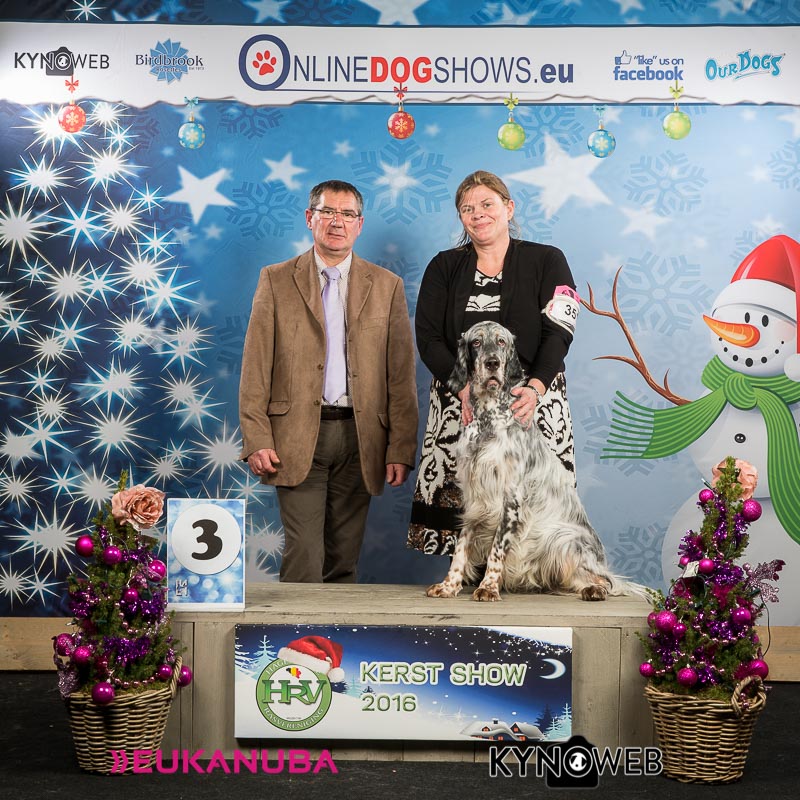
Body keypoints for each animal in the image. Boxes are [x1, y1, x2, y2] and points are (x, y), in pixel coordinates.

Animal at [426, 321, 643, 602]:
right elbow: (461, 547)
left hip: (565, 540)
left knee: (607, 581)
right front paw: (448, 585)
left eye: (501, 342)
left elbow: (496, 550)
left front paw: (488, 587)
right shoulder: (474, 497)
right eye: (476, 342)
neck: (487, 419)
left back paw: (594, 590)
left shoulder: (511, 498)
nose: (493, 363)